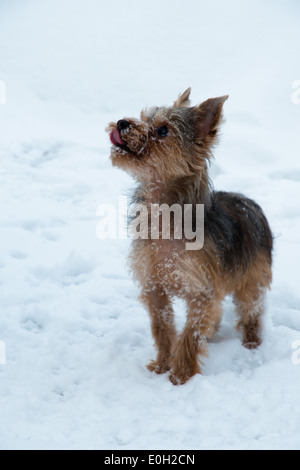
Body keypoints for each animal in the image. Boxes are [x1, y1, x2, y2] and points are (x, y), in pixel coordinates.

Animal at [106, 89, 274, 386]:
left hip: (251, 277)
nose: (123, 123)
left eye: (162, 130)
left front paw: (181, 376)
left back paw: (252, 342)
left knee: (251, 309)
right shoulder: (155, 288)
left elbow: (189, 335)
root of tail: (249, 202)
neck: (163, 215)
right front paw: (162, 364)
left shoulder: (200, 289)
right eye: (143, 118)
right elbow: (162, 328)